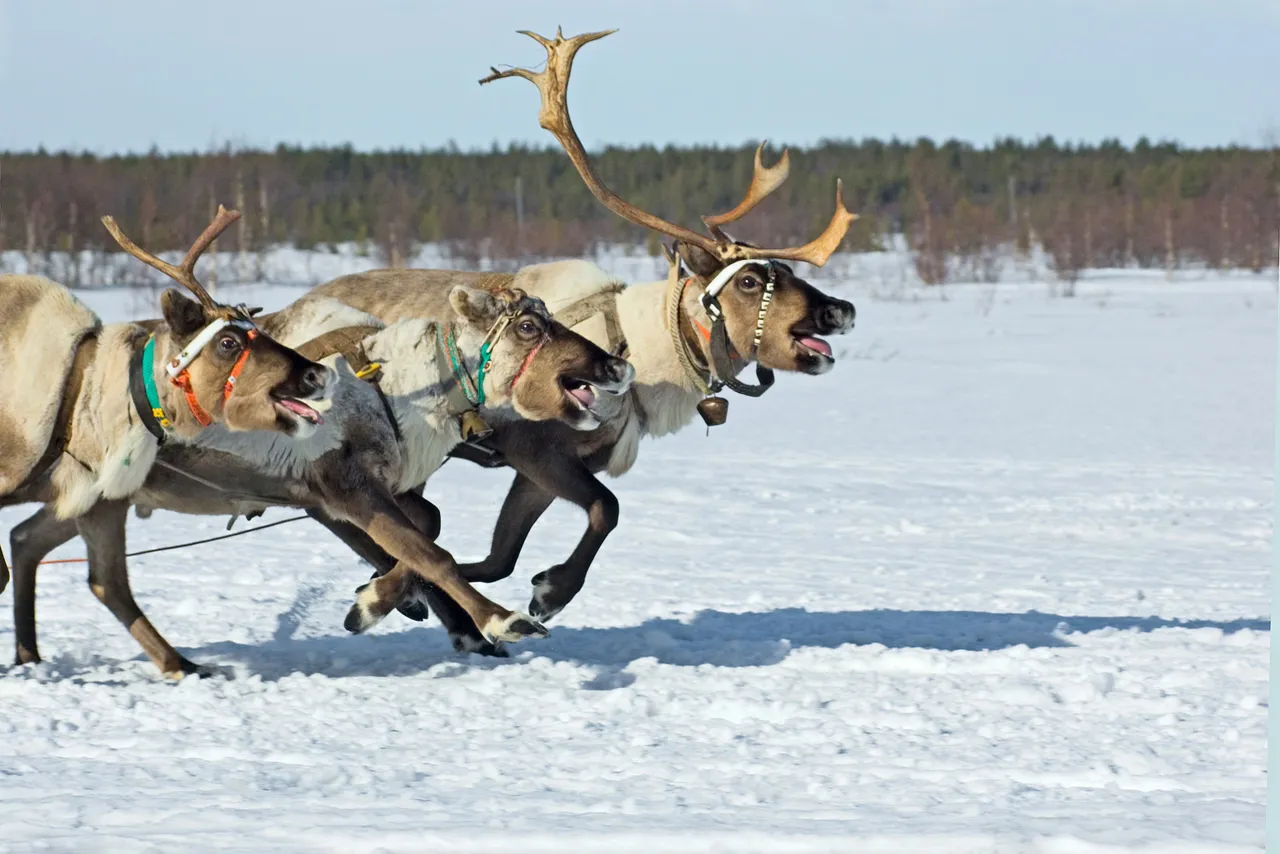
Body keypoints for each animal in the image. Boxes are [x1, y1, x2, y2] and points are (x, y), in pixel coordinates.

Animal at [0, 207, 334, 676]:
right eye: (228, 341)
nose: (316, 374)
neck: (86, 395)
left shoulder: (98, 500)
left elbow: (107, 580)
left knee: (81, 569)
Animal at [4, 274, 636, 676]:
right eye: (528, 326)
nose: (616, 364)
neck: (396, 386)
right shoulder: (341, 490)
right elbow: (431, 553)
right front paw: (501, 619)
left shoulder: (360, 492)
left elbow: (424, 539)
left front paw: (387, 601)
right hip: (89, 493)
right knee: (79, 565)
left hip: (94, 496)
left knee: (38, 544)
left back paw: (43, 657)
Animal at [290, 28, 859, 656]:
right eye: (751, 281)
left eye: (783, 271)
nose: (840, 309)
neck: (638, 352)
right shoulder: (534, 448)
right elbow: (602, 509)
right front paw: (545, 593)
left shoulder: (542, 469)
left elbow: (498, 556)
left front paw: (430, 597)